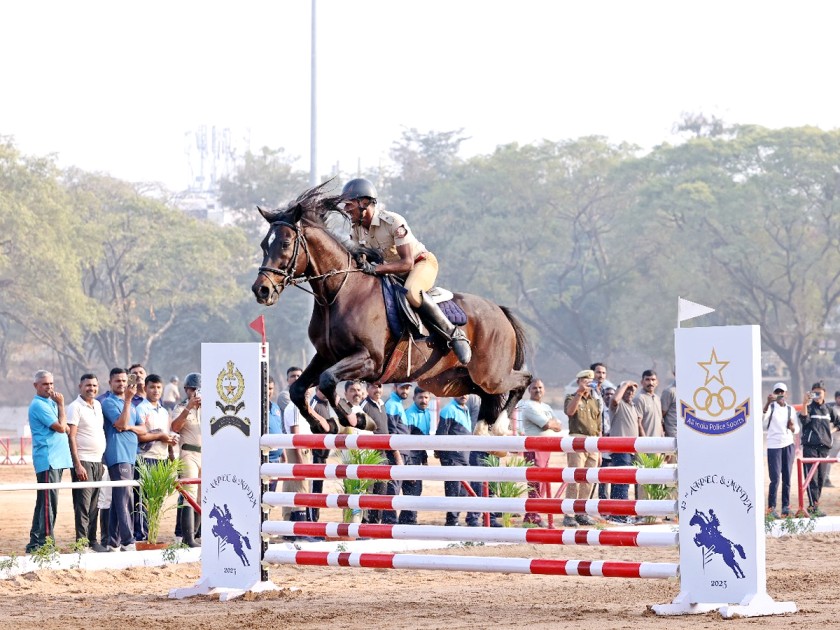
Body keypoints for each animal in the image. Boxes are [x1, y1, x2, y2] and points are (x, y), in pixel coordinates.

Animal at [249, 184, 536, 434]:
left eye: (285, 244)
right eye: (264, 244)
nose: (261, 290)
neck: (339, 293)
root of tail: (499, 311)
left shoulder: (369, 359)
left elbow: (328, 381)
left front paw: (357, 419)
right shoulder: (325, 356)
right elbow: (299, 390)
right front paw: (323, 424)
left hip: (491, 373)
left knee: (523, 379)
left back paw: (499, 425)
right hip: (450, 382)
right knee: (486, 395)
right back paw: (484, 428)